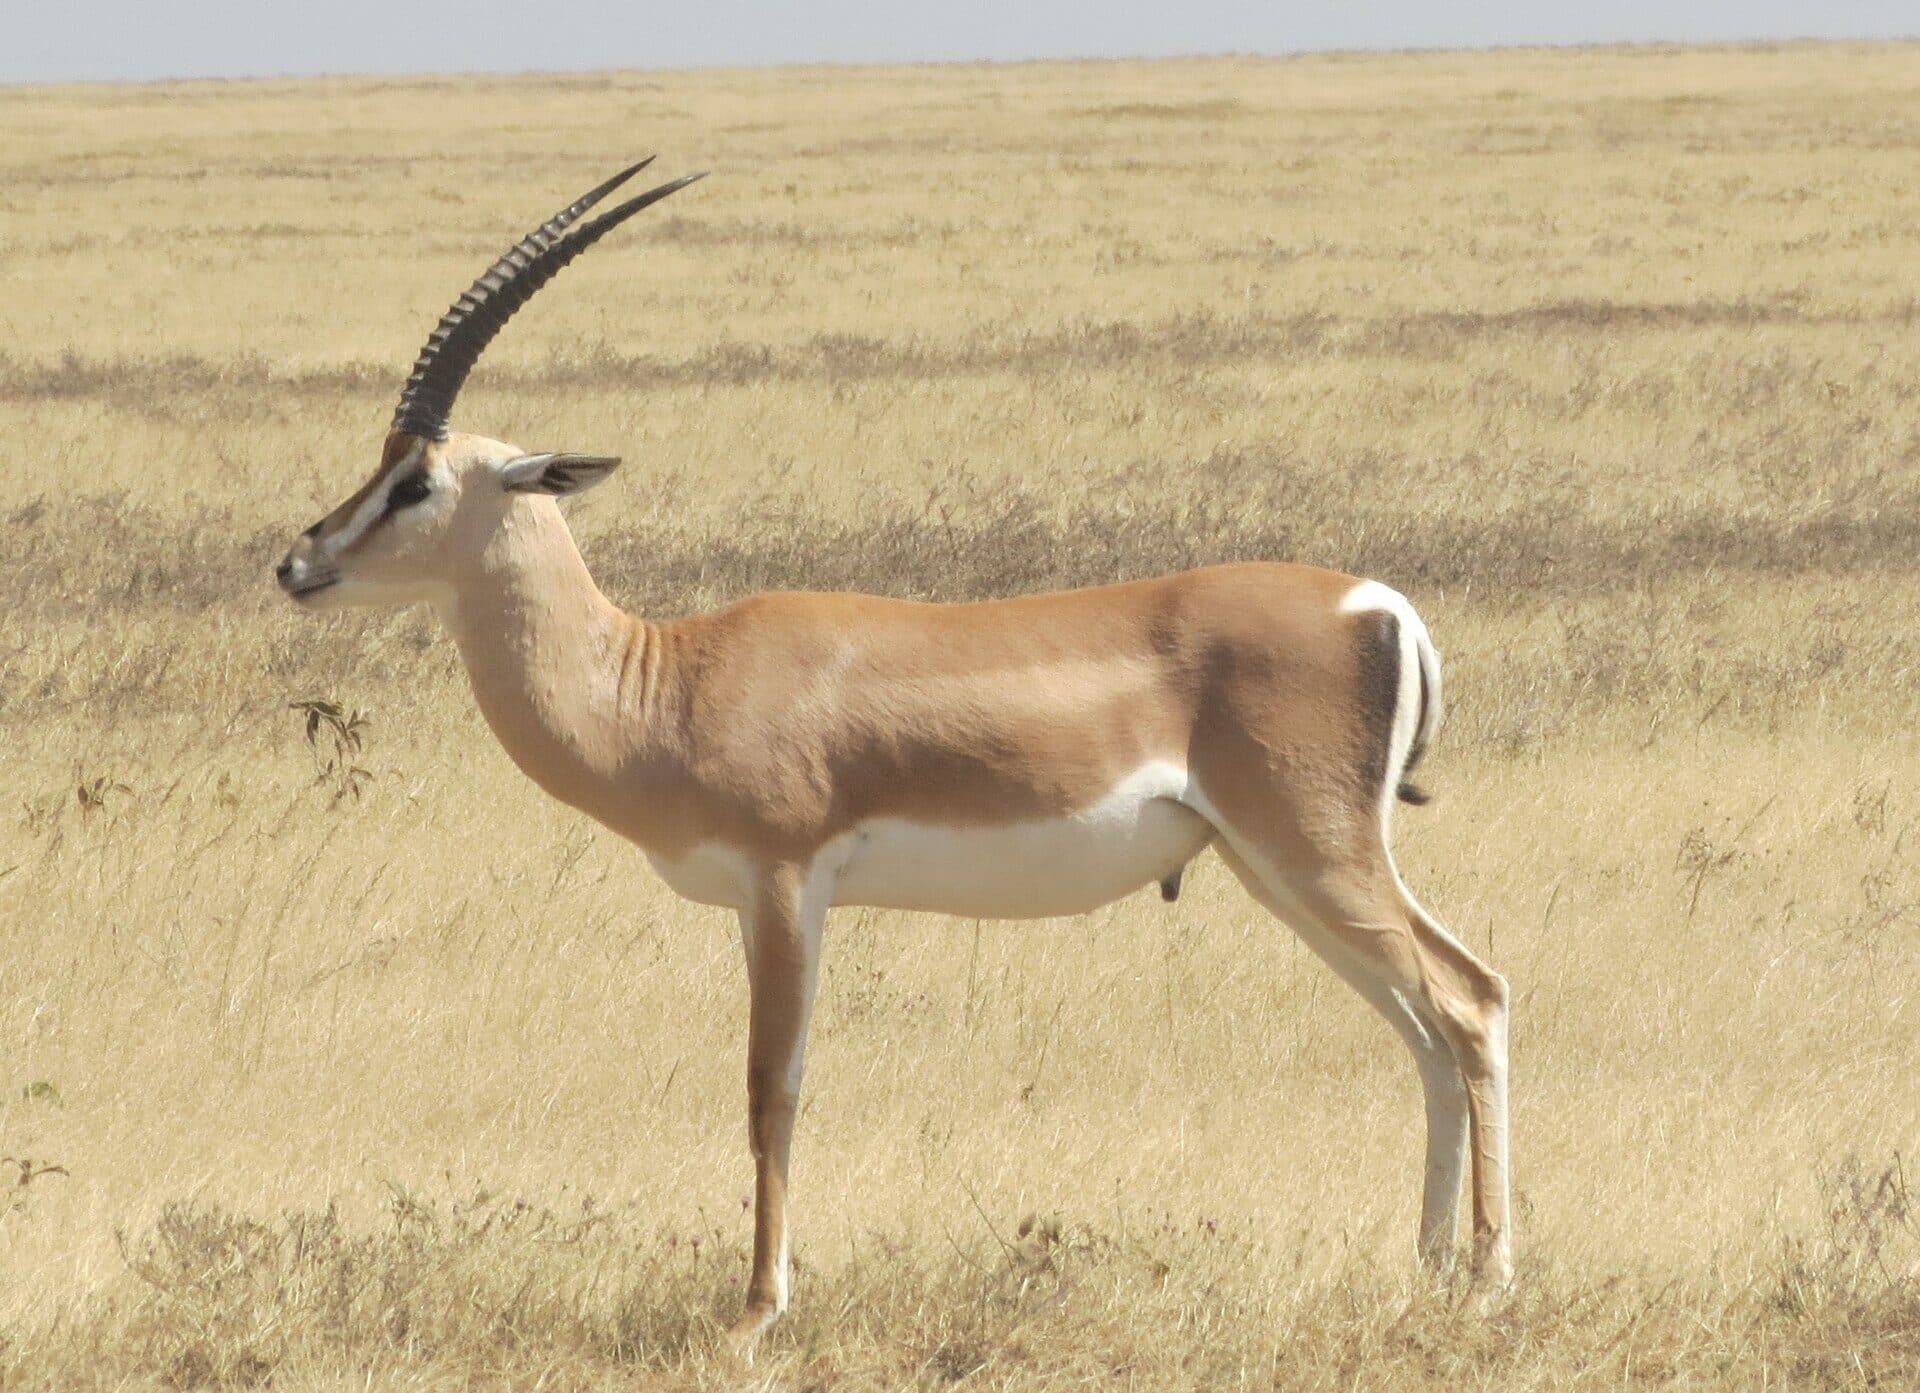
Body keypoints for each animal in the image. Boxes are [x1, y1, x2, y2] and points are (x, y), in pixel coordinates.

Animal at [275, 159, 1512, 1343]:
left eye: (417, 480)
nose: (298, 562)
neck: (666, 680)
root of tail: (1377, 604)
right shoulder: (769, 900)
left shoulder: (783, 883)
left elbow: (771, 1084)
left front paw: (758, 1310)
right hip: (1277, 869)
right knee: (1422, 1027)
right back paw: (1427, 1269)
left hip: (1314, 852)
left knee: (1470, 999)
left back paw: (1489, 1281)